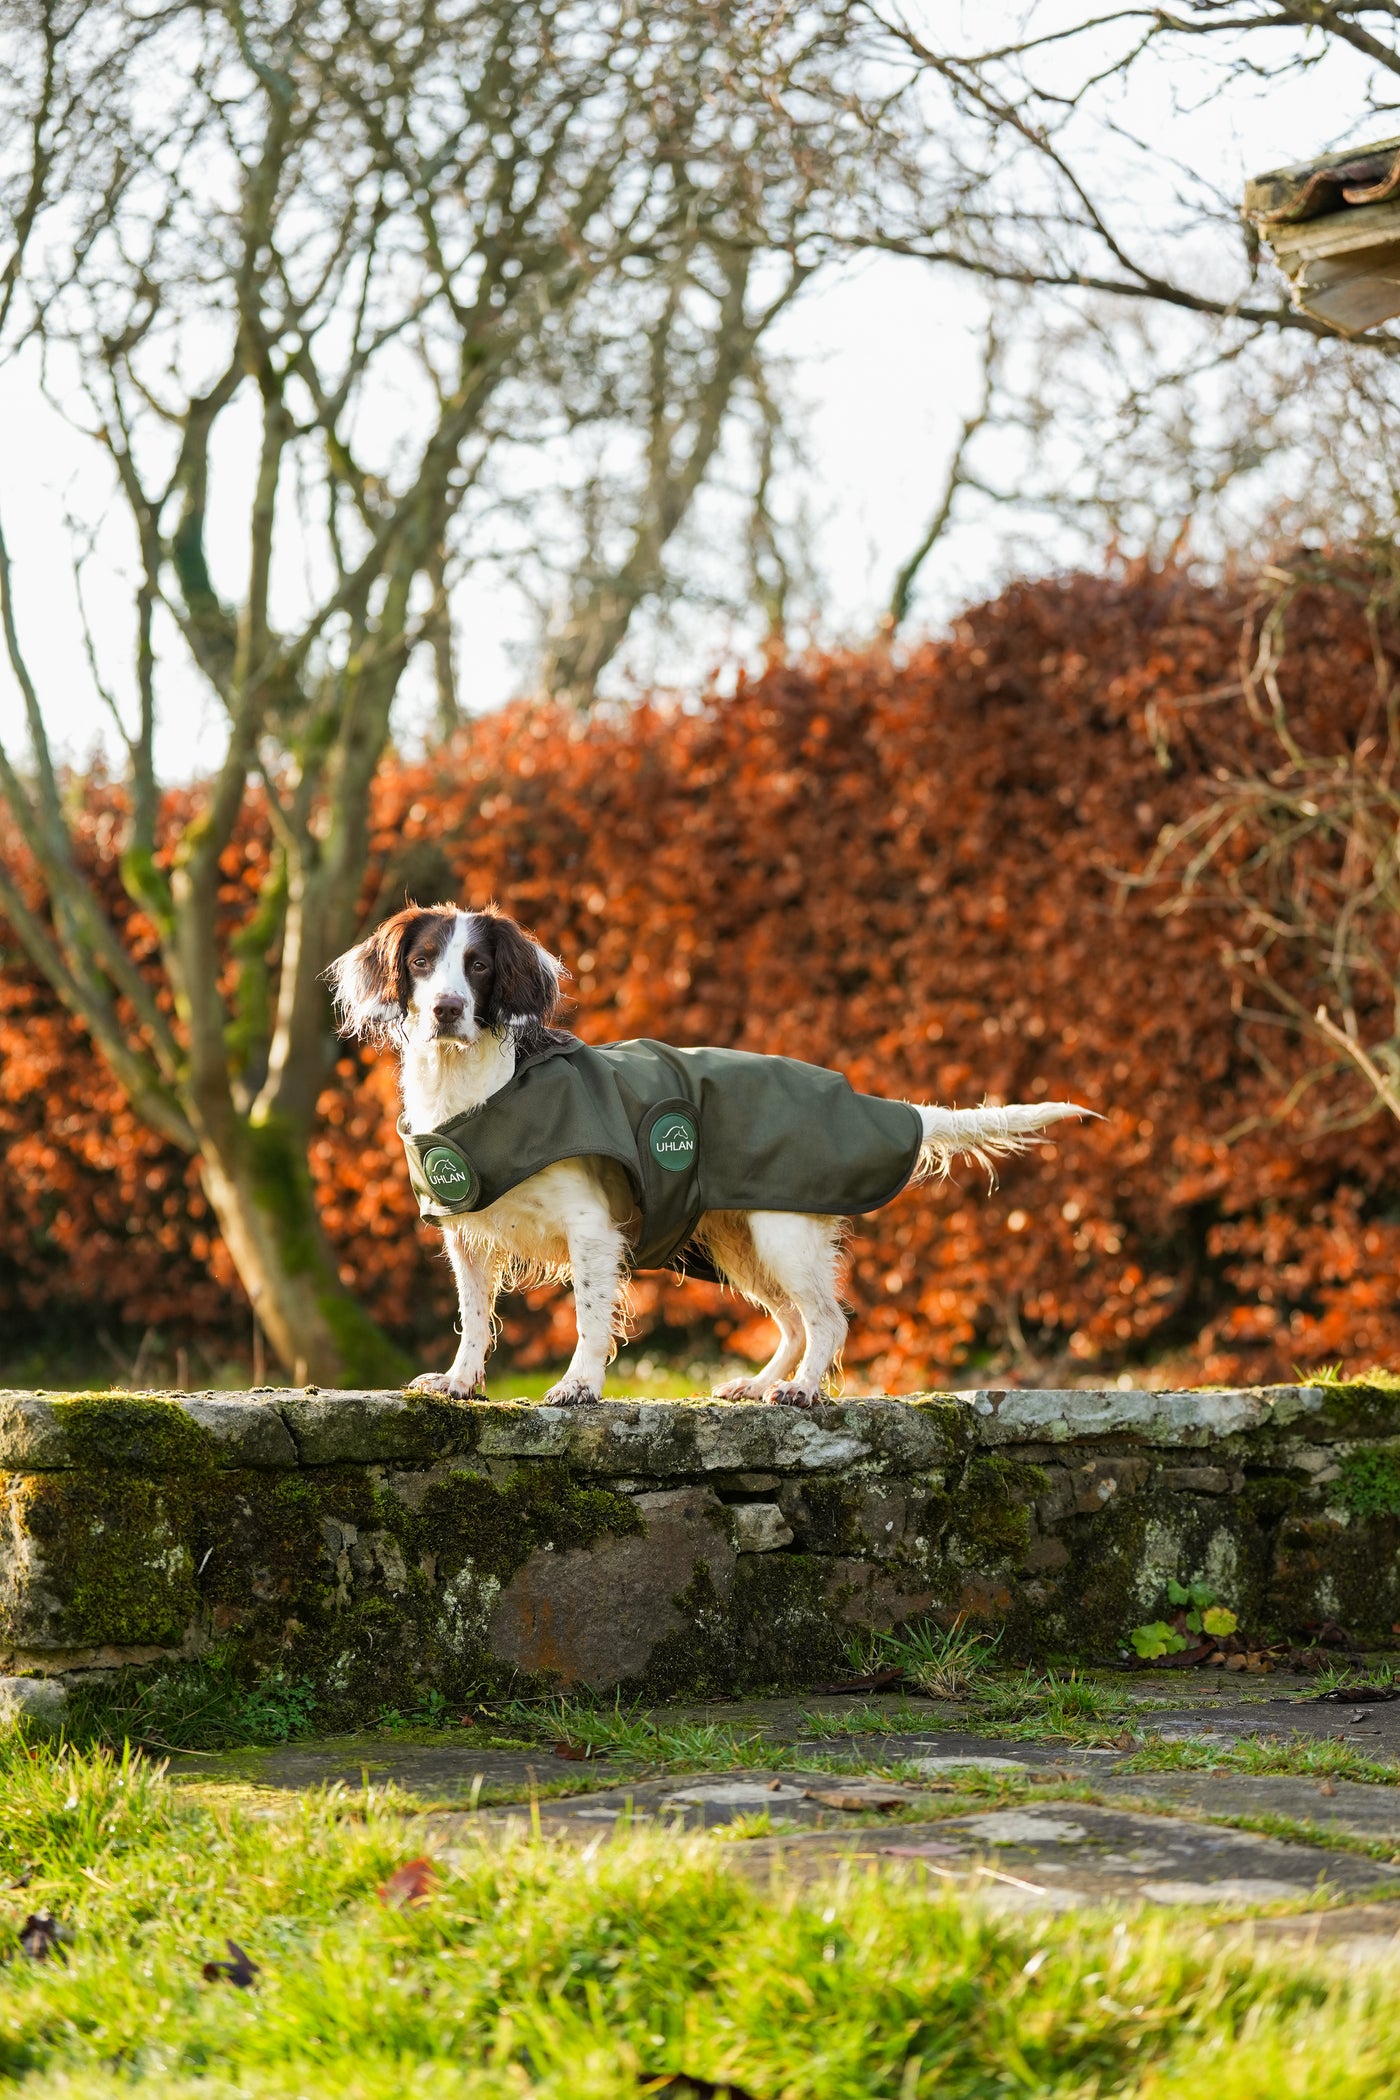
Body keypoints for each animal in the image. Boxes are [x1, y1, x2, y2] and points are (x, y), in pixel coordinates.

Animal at [325, 907, 1083, 1411]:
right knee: (793, 1323)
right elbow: (475, 1318)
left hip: (782, 1234)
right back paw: (761, 1384)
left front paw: (579, 1385)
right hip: (739, 1243)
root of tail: (866, 1101)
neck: (483, 1088)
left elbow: (590, 1318)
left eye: (478, 966)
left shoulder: (592, 1228)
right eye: (422, 962)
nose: (447, 1009)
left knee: (827, 1320)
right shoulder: (467, 1235)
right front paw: (457, 1382)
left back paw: (800, 1392)